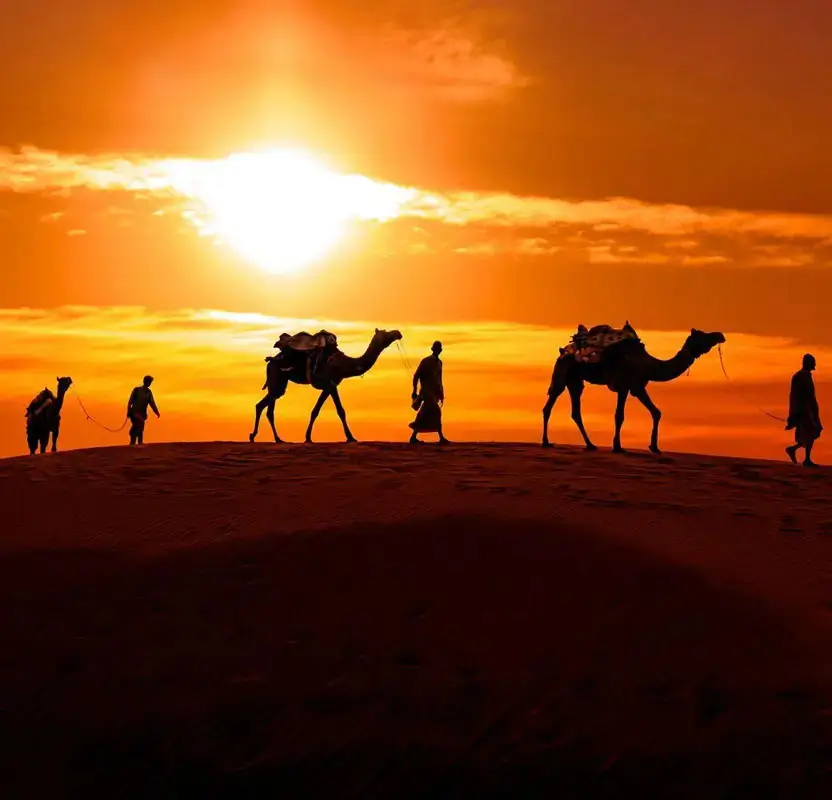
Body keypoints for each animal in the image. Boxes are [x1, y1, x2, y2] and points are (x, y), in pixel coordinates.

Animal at [250, 328, 403, 444]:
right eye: (385, 333)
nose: (398, 332)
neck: (344, 365)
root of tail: (270, 360)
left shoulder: (329, 386)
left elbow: (316, 411)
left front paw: (308, 437)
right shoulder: (331, 384)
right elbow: (339, 411)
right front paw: (351, 437)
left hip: (280, 383)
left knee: (261, 405)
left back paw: (257, 436)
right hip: (276, 377)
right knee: (269, 409)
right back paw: (276, 439)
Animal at [542, 328, 726, 454]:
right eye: (703, 335)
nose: (720, 335)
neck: (650, 365)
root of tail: (563, 350)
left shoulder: (637, 386)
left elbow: (656, 412)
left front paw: (654, 446)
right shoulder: (624, 385)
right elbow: (619, 416)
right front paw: (617, 446)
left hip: (575, 380)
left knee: (575, 411)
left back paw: (590, 445)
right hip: (562, 372)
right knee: (549, 405)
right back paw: (546, 442)